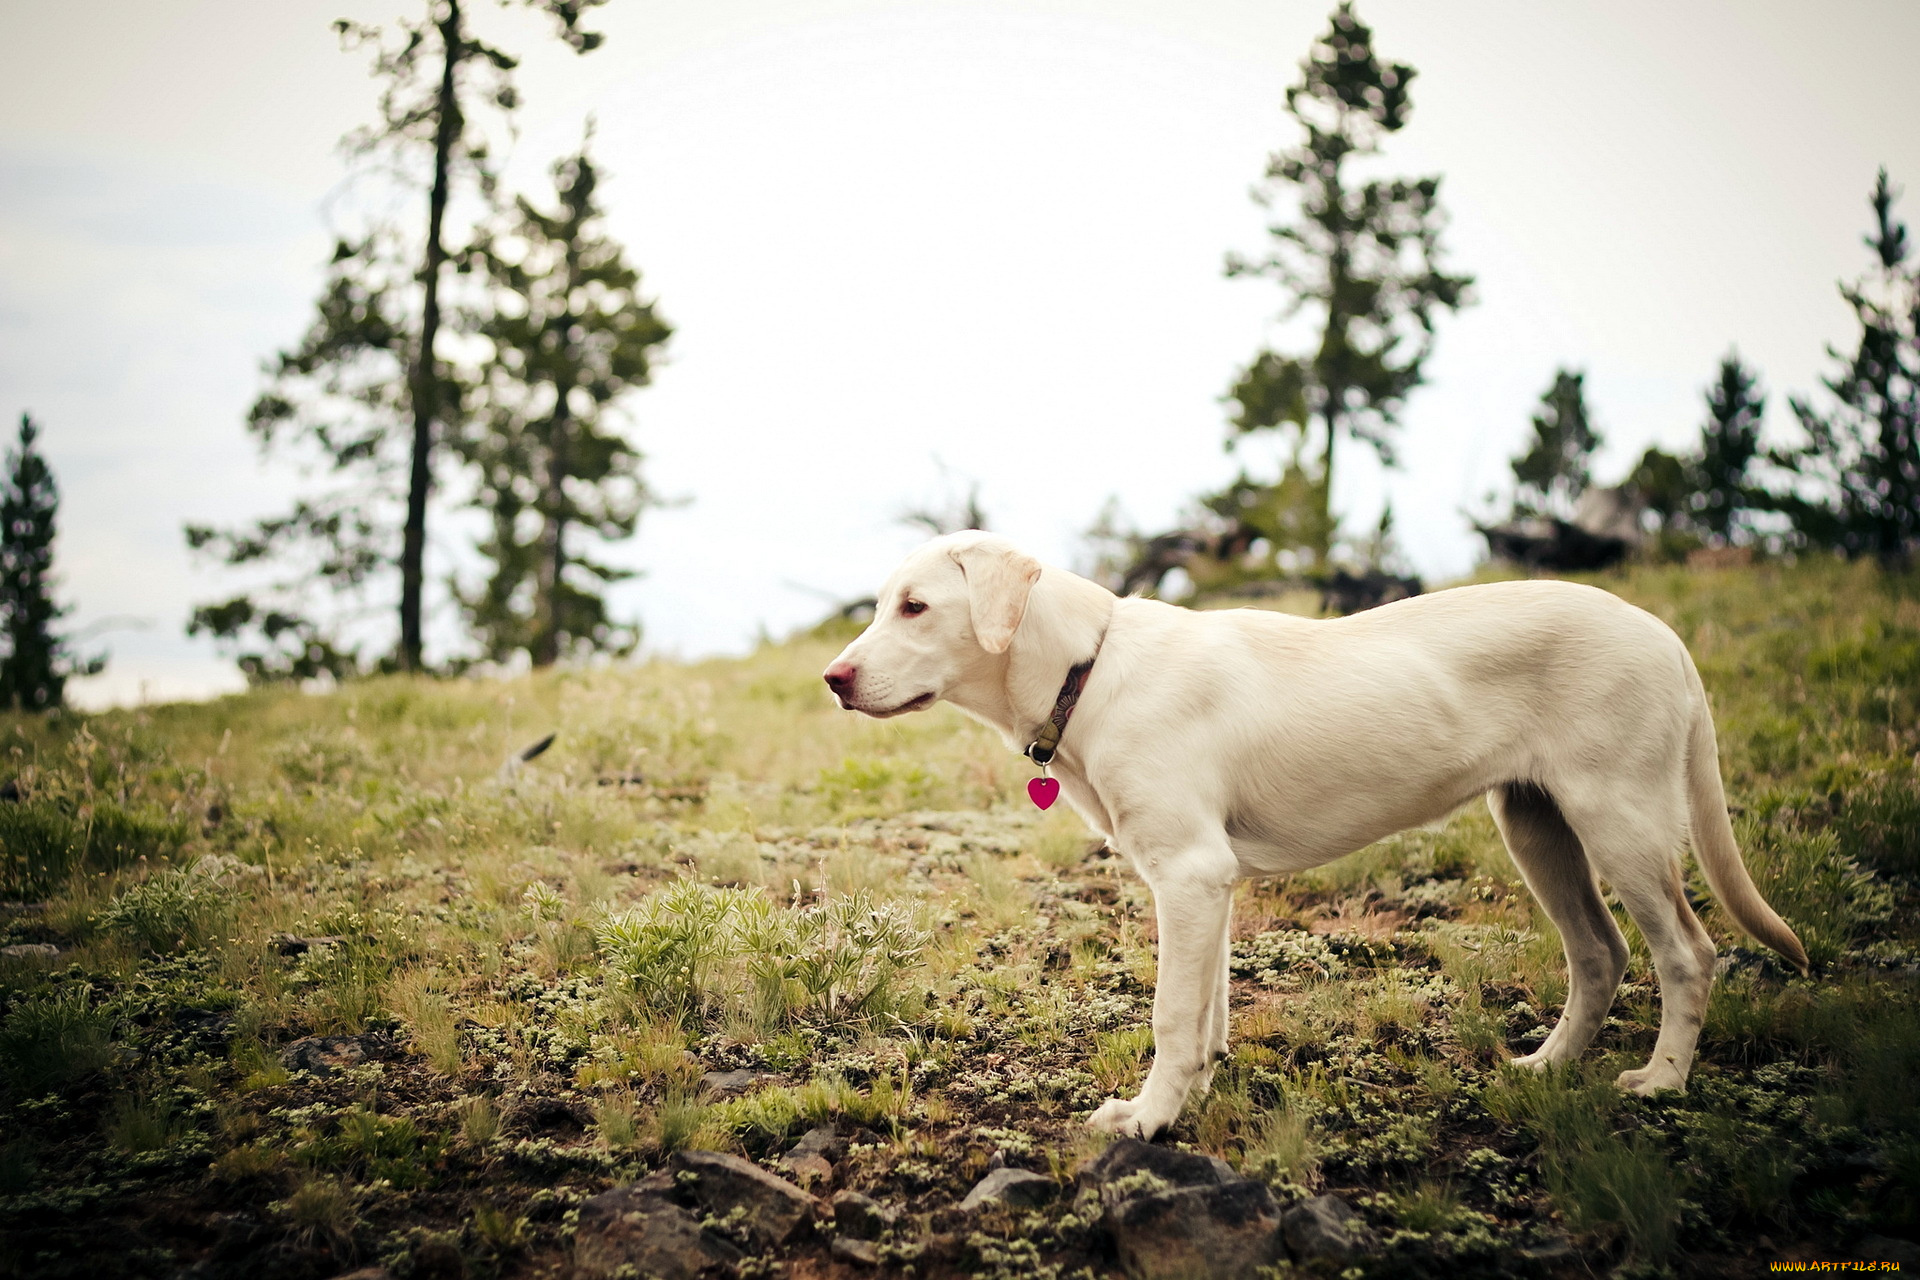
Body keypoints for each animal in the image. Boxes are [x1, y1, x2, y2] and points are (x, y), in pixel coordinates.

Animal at [817, 533, 1804, 1143]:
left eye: (915, 607)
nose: (832, 679)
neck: (1088, 670)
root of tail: (1666, 635)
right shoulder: (1205, 883)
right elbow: (1206, 1009)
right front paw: (1194, 1095)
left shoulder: (1189, 874)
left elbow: (1170, 1014)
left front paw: (1147, 1121)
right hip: (1536, 825)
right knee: (1600, 954)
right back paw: (1547, 1066)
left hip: (1620, 821)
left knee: (1687, 953)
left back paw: (1662, 1083)